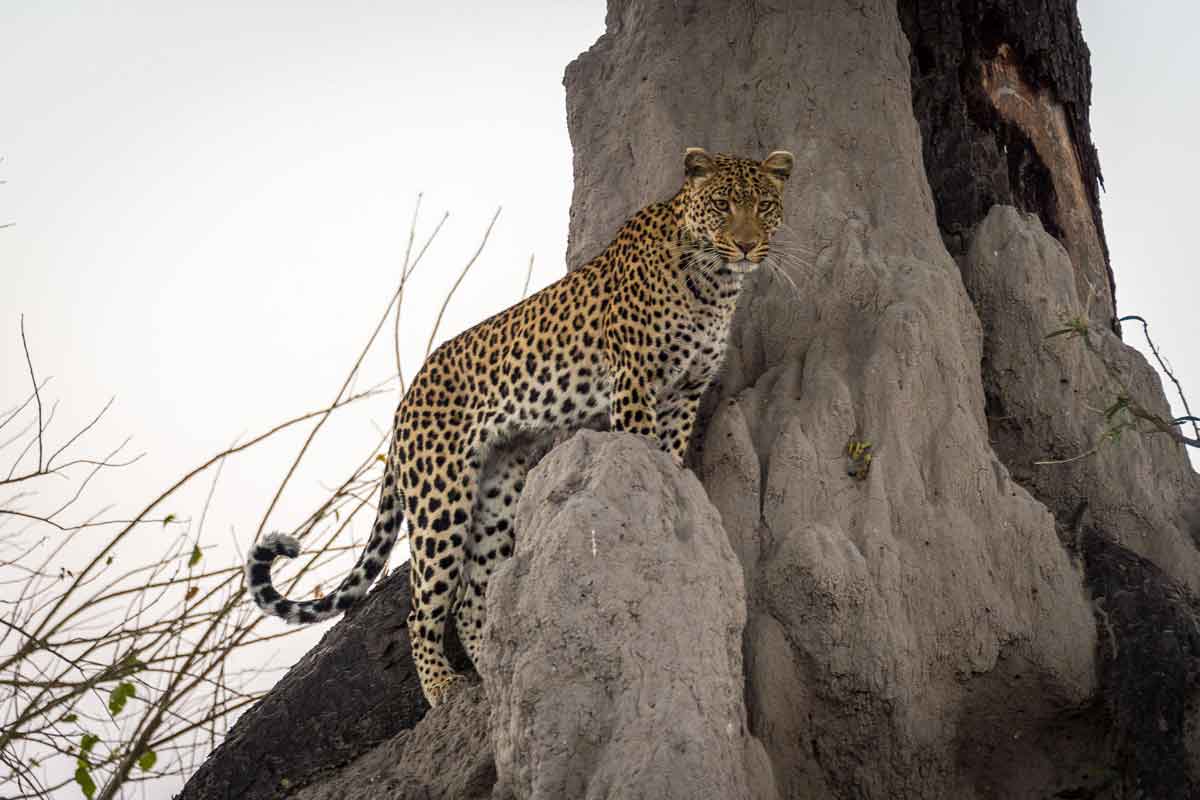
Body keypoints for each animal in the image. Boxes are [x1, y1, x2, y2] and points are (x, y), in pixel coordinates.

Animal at [242, 146, 792, 705]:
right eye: (723, 205)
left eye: (764, 206)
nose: (747, 245)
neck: (714, 283)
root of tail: (403, 407)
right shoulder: (635, 384)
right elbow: (644, 447)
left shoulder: (684, 395)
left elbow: (671, 459)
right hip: (440, 499)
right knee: (424, 609)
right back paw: (442, 686)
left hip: (498, 490)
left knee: (470, 598)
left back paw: (496, 672)